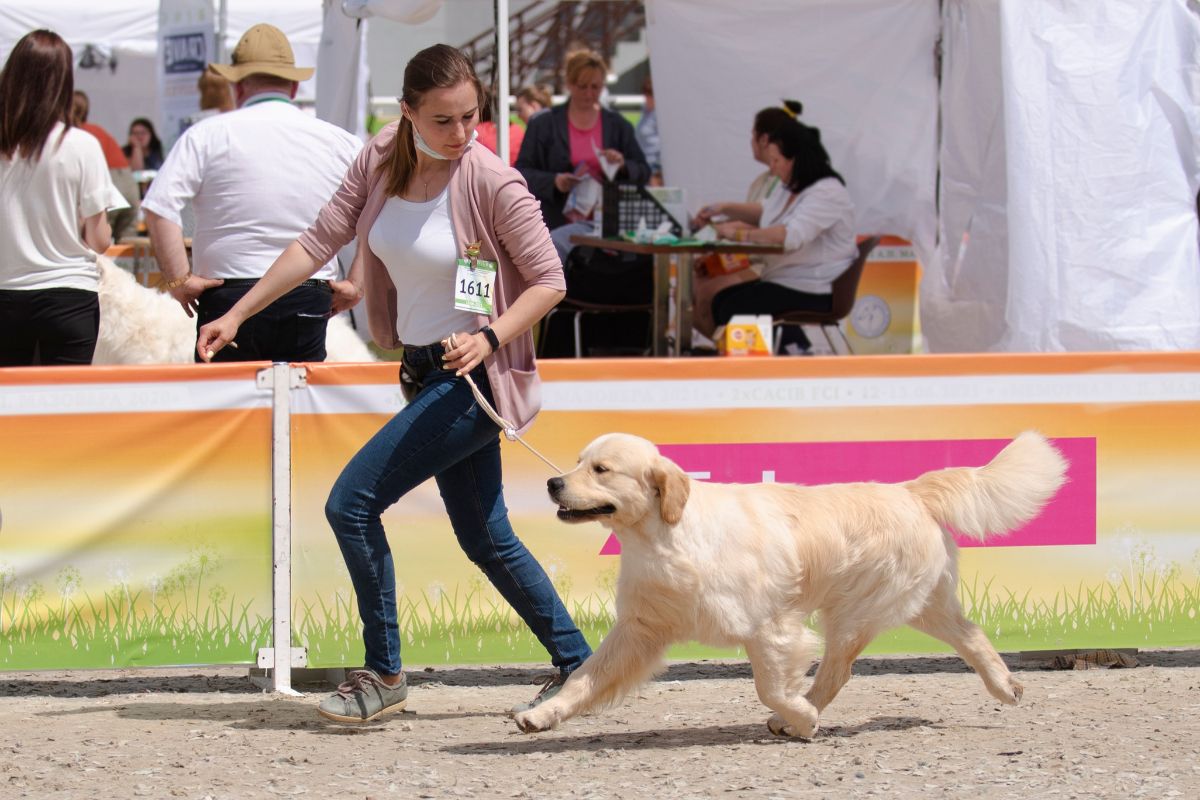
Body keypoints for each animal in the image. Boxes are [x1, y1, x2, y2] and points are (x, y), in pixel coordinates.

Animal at [516, 431, 1070, 738]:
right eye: (579, 461)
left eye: (601, 468)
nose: (553, 483)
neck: (666, 538)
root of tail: (910, 490)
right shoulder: (639, 628)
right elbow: (585, 677)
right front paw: (543, 716)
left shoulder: (771, 626)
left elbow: (770, 688)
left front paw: (800, 717)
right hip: (920, 604)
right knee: (970, 633)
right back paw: (1006, 685)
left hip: (855, 610)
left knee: (838, 672)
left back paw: (798, 720)